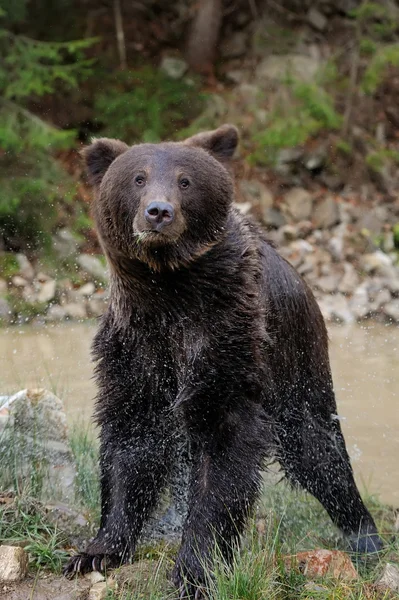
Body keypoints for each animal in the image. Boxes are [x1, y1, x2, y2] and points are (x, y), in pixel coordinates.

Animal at [64, 125, 382, 600]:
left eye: (185, 180)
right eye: (138, 178)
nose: (158, 213)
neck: (170, 291)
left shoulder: (228, 339)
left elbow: (225, 453)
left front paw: (194, 571)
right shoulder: (136, 347)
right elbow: (131, 436)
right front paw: (97, 550)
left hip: (296, 363)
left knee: (319, 451)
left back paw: (365, 537)